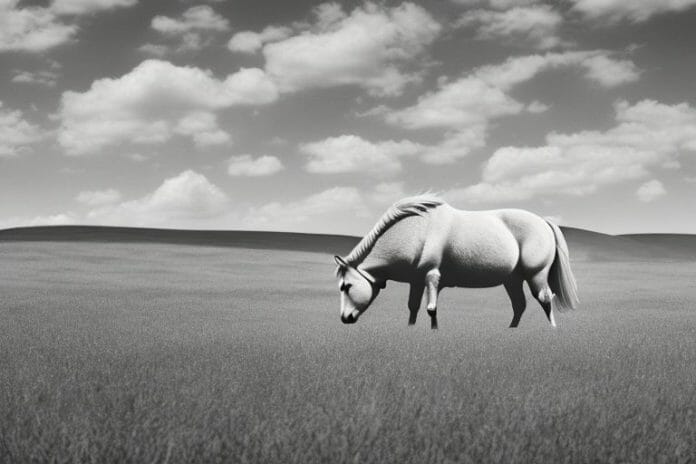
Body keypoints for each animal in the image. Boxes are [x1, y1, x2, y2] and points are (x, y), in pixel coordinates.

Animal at [334, 195, 578, 329]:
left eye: (347, 286)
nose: (344, 318)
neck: (416, 231)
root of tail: (544, 222)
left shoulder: (432, 276)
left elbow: (431, 309)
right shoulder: (416, 281)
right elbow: (413, 307)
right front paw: (410, 329)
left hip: (536, 274)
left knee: (545, 299)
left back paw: (551, 330)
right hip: (512, 280)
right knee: (520, 305)